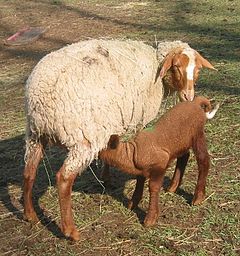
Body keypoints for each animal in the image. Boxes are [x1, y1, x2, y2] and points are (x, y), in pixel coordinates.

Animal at [99, 95, 219, 226]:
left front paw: (150, 219)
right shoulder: (142, 170)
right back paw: (172, 187)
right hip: (181, 143)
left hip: (198, 134)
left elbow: (153, 187)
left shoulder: (160, 163)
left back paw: (197, 198)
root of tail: (196, 103)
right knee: (184, 157)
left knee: (203, 161)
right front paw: (132, 204)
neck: (132, 153)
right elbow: (139, 184)